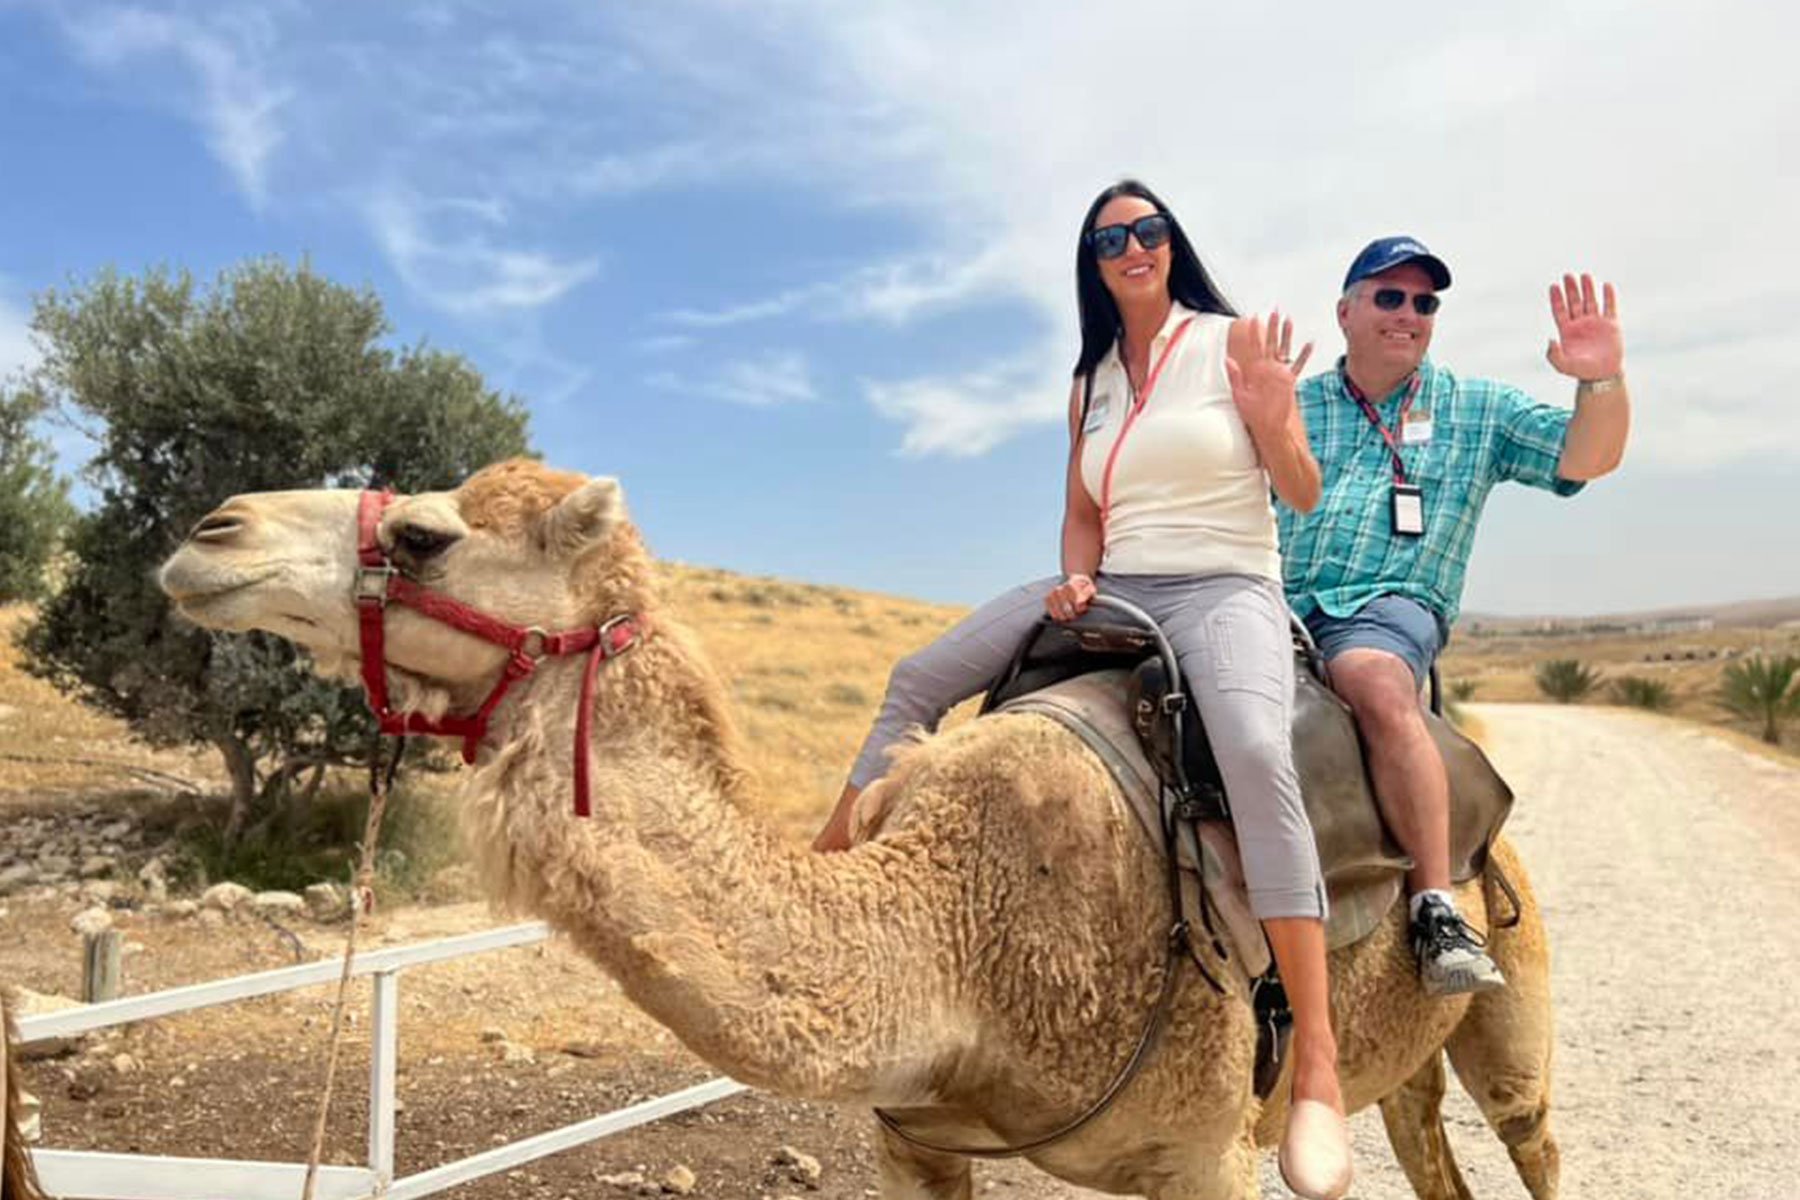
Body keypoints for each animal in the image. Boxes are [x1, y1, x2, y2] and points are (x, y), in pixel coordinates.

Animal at [158, 460, 1562, 1200]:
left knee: (1532, 1132)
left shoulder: (1206, 1153)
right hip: (1405, 1064)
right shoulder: (911, 1137)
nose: (208, 533)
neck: (960, 939)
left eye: (423, 535)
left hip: (1508, 992)